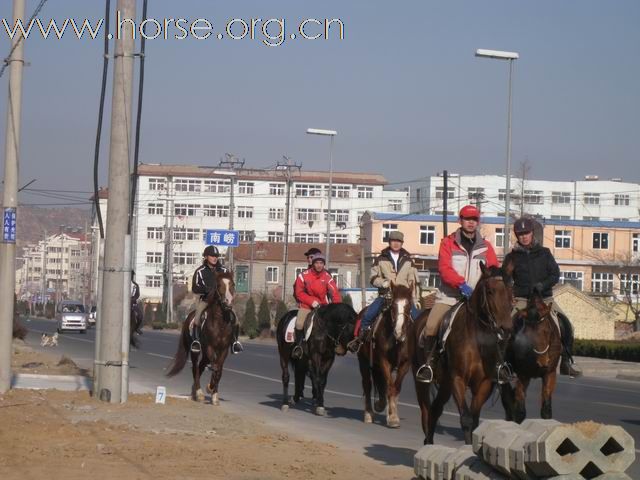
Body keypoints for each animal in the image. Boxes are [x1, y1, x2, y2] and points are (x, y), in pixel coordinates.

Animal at [166, 270, 236, 404]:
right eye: (219, 285)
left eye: (232, 285)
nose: (228, 302)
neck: (220, 322)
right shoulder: (209, 347)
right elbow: (215, 367)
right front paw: (209, 388)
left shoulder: (223, 350)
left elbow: (218, 370)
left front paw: (214, 394)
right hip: (195, 351)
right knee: (195, 367)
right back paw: (198, 393)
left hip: (206, 354)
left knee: (201, 366)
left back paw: (196, 391)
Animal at [356, 282, 416, 428]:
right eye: (393, 305)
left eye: (409, 305)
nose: (399, 332)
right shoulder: (384, 361)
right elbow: (389, 386)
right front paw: (393, 417)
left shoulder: (405, 364)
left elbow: (395, 387)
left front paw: (392, 414)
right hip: (363, 361)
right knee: (367, 384)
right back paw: (369, 413)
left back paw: (380, 404)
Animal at [416, 264, 516, 444]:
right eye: (490, 291)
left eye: (511, 289)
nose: (506, 329)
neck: (477, 337)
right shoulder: (458, 379)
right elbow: (466, 418)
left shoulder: (485, 383)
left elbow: (474, 420)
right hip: (423, 382)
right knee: (426, 410)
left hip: (445, 384)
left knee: (435, 409)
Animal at [502, 294, 564, 422]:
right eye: (528, 335)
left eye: (547, 331)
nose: (543, 362)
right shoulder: (523, 375)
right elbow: (520, 410)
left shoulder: (550, 373)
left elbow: (546, 409)